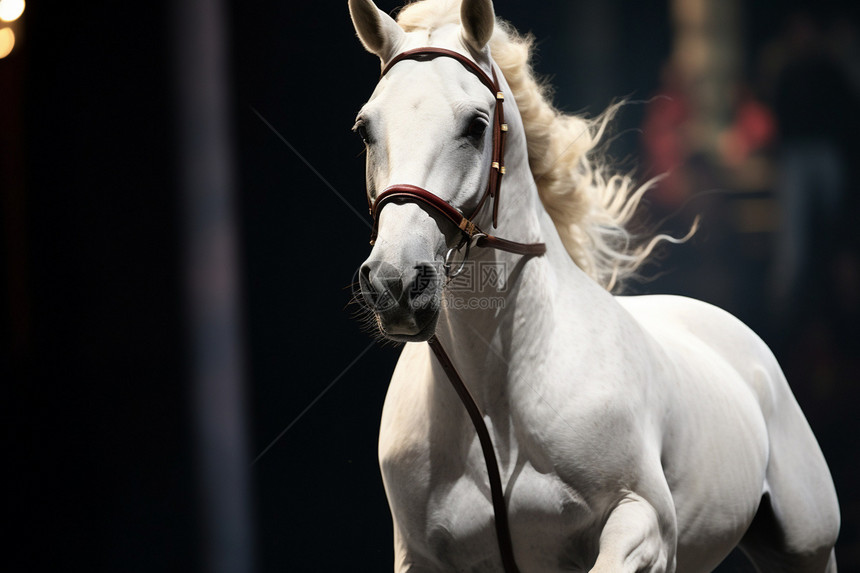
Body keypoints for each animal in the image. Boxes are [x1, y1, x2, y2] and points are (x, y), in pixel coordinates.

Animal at [350, 2, 840, 568]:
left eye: (475, 125)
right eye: (365, 129)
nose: (396, 281)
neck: (496, 412)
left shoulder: (645, 521)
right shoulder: (420, 556)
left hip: (810, 547)